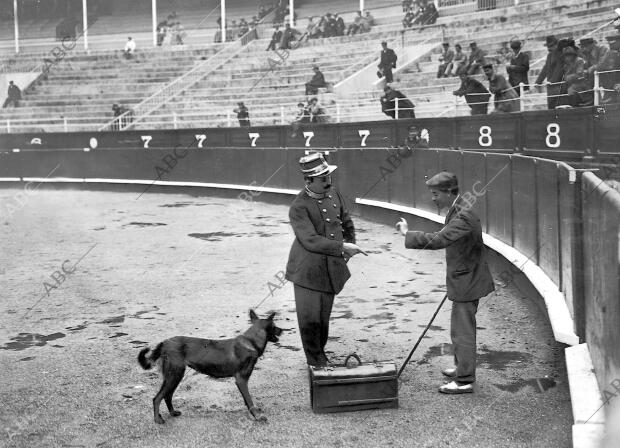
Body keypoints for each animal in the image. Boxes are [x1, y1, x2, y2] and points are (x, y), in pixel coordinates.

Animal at [139, 310, 282, 426]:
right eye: (275, 326)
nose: (282, 330)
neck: (251, 342)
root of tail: (165, 343)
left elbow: (247, 401)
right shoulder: (241, 380)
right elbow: (249, 400)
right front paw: (257, 416)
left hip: (175, 376)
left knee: (167, 396)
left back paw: (172, 413)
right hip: (174, 375)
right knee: (157, 398)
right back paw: (157, 419)